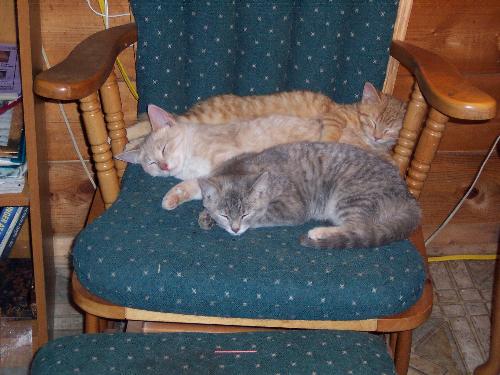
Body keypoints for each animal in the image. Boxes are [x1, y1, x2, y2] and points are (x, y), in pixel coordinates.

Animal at [197, 142, 420, 250]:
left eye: (245, 214)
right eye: (225, 214)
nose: (234, 229)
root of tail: (409, 197)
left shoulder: (291, 207)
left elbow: (263, 216)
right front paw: (206, 216)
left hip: (351, 198)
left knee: (359, 227)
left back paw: (320, 232)